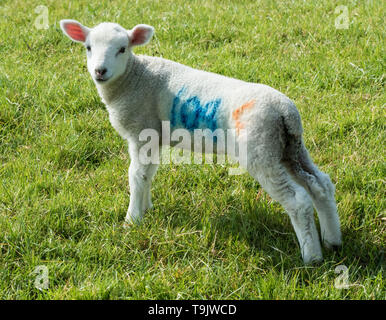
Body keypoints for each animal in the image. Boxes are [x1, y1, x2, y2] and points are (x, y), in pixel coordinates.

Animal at [59, 19, 340, 262]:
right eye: (88, 47)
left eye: (122, 49)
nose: (100, 71)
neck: (134, 77)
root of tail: (285, 111)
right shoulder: (153, 137)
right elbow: (148, 174)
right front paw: (147, 208)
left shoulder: (140, 131)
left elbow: (136, 175)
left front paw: (132, 220)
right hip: (290, 148)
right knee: (321, 185)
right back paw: (332, 240)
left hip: (261, 151)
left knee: (298, 201)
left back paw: (312, 256)